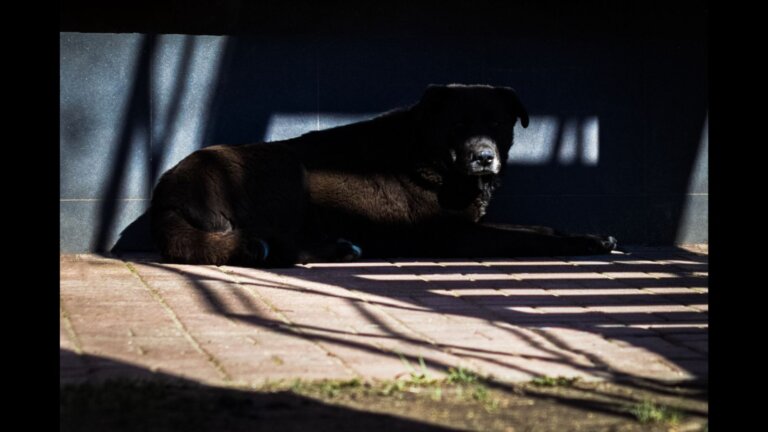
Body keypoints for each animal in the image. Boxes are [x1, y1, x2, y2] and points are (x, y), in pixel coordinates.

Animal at [150, 83, 616, 266]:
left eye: (498, 124)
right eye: (458, 125)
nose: (484, 157)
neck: (433, 157)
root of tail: (165, 196)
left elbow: (540, 227)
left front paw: (593, 238)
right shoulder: (453, 236)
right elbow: (531, 237)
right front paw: (578, 243)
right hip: (286, 167)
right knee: (282, 244)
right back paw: (336, 249)